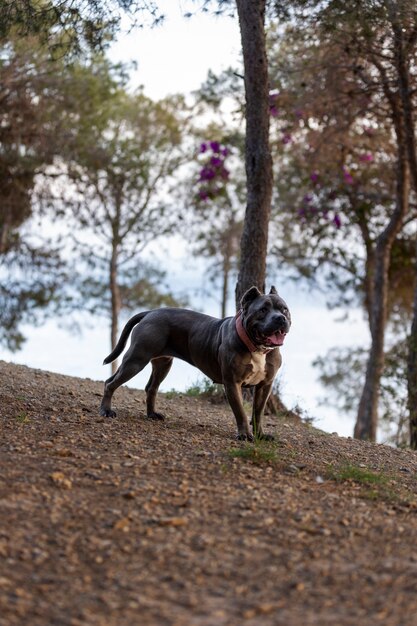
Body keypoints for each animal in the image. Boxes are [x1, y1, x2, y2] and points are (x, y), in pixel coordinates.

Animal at [99, 284, 290, 438]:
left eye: (284, 310)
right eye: (263, 310)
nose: (280, 318)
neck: (257, 348)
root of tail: (150, 312)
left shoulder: (265, 385)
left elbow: (258, 413)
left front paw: (260, 435)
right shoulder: (232, 383)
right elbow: (241, 412)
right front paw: (244, 435)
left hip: (163, 364)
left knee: (151, 388)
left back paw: (152, 414)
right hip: (136, 359)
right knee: (110, 383)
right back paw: (106, 410)